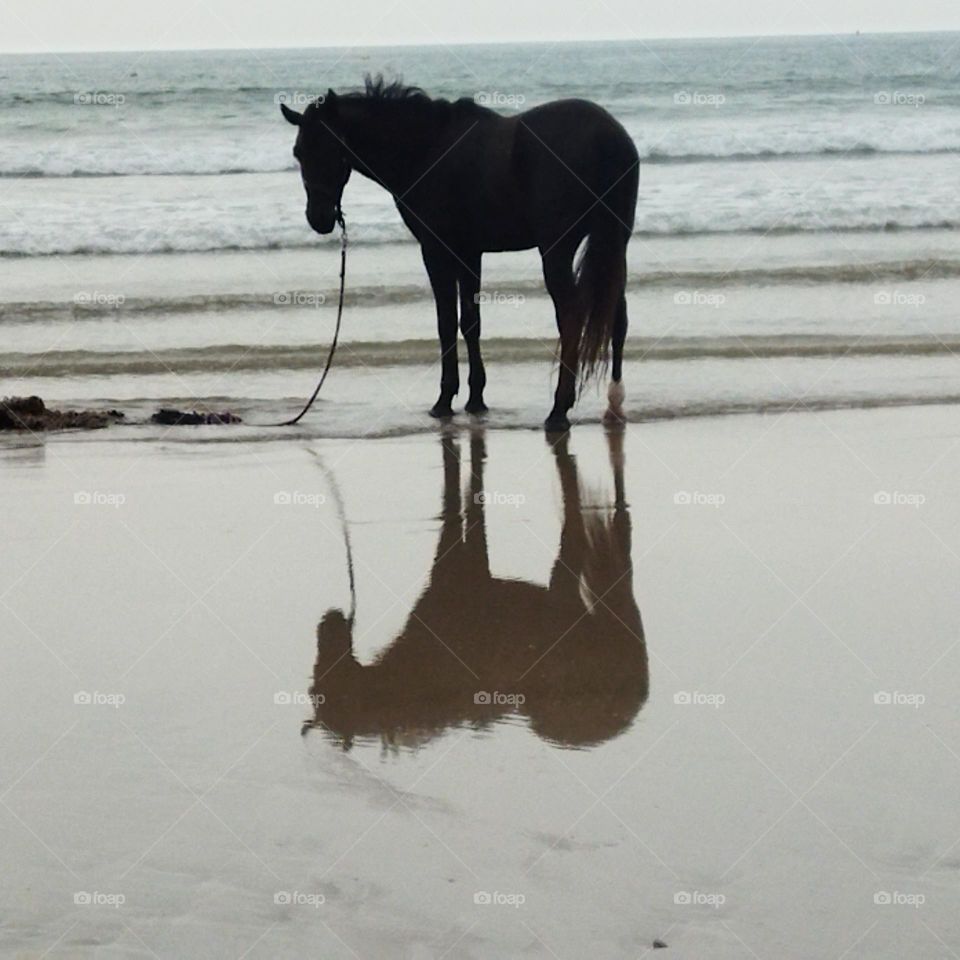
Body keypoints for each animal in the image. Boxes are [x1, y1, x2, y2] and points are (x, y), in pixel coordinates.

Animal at [281, 76, 639, 431]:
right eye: (299, 152)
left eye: (332, 147)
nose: (319, 218)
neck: (426, 148)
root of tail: (609, 137)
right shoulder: (469, 253)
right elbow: (470, 322)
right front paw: (475, 398)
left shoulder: (436, 251)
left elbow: (445, 323)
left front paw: (444, 399)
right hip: (615, 242)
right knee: (617, 314)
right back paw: (614, 403)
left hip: (558, 249)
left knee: (571, 315)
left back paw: (559, 409)